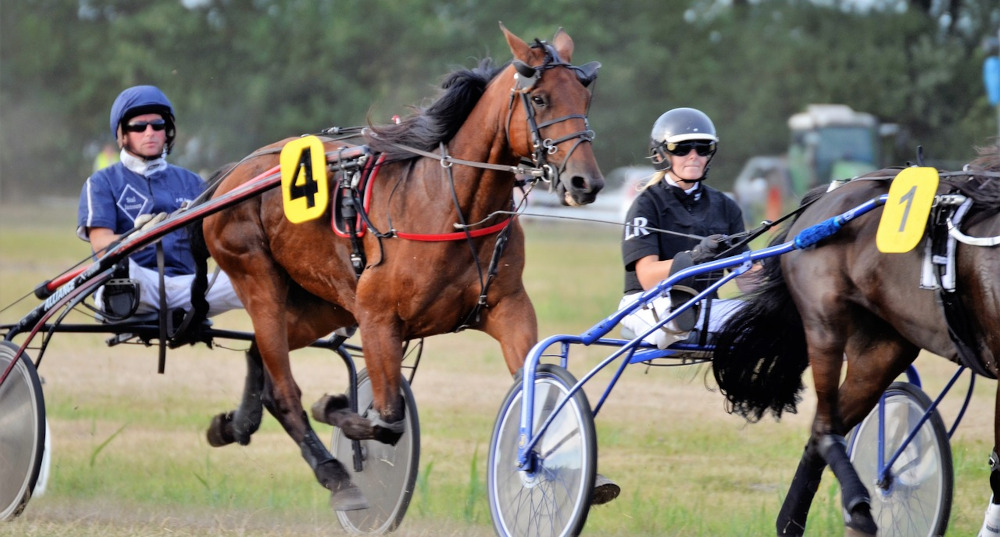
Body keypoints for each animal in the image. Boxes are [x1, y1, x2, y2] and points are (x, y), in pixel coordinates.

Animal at [195, 24, 600, 510]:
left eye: (585, 97)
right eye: (539, 98)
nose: (586, 182)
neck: (451, 207)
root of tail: (237, 173)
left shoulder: (509, 307)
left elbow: (533, 382)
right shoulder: (377, 318)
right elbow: (388, 421)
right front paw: (333, 407)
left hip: (324, 302)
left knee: (263, 357)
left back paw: (234, 424)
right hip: (258, 278)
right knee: (285, 387)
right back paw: (335, 474)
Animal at [712, 148, 1000, 536]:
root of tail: (828, 196)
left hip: (883, 347)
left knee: (823, 430)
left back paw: (794, 522)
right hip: (825, 326)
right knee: (824, 428)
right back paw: (858, 509)